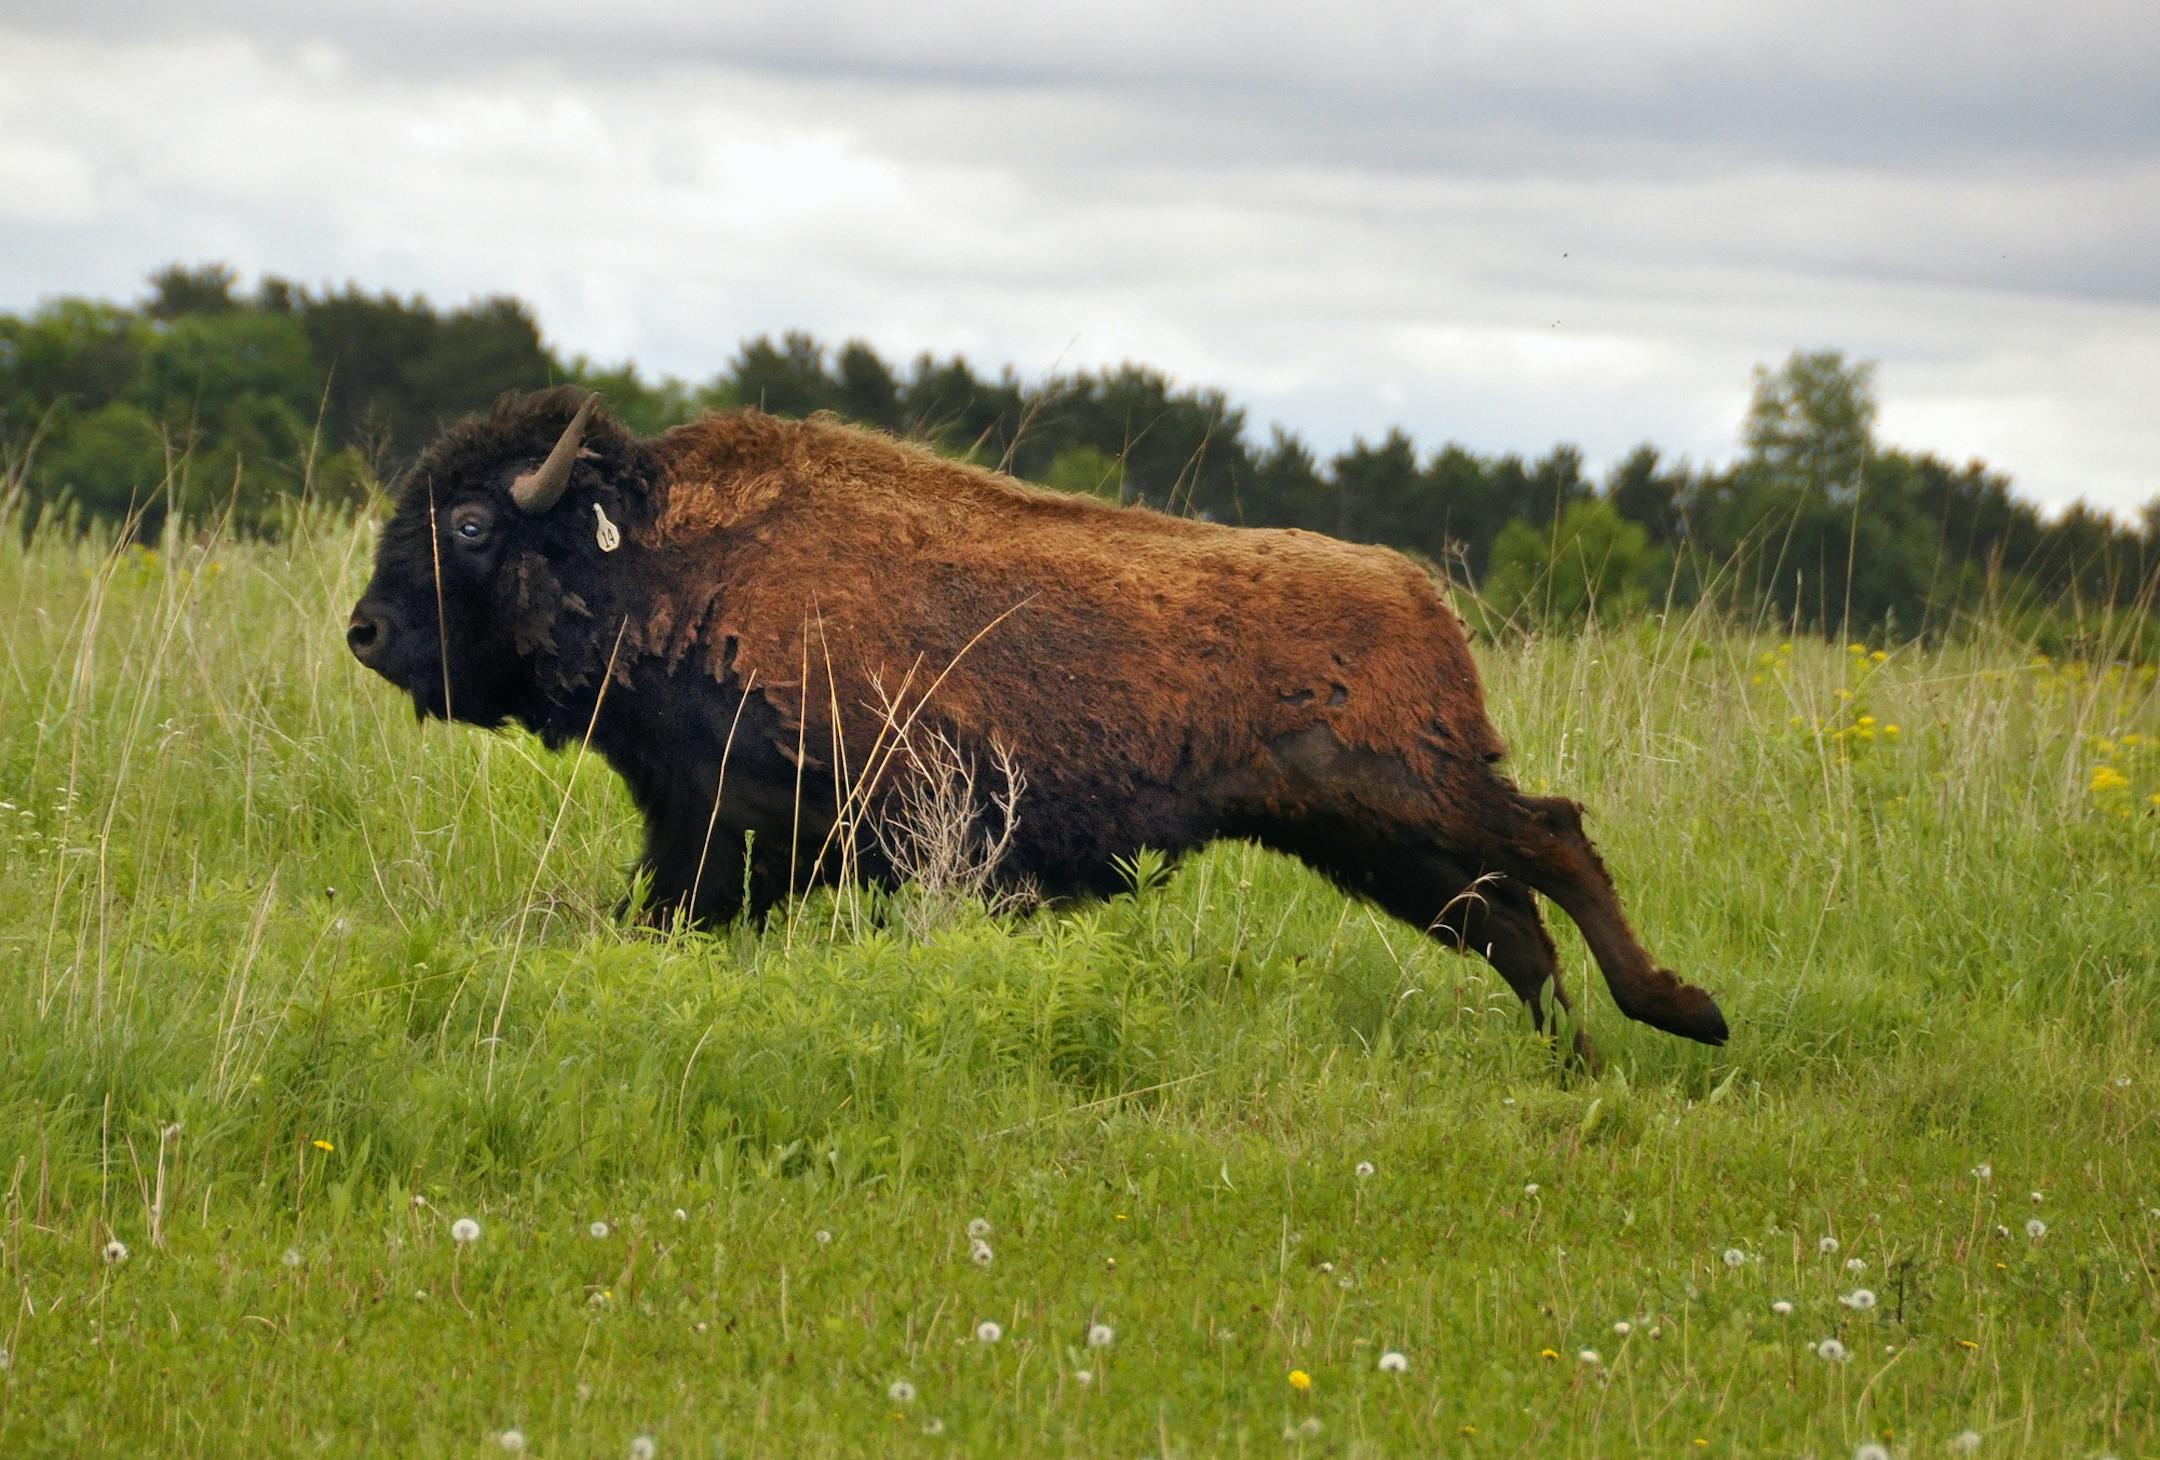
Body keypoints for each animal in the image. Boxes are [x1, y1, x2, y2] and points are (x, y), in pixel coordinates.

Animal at [349, 388, 1728, 1062]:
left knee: (1552, 841)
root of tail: (1417, 592)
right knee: (1506, 920)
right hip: (1372, 839)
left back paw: (1683, 1011)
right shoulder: (709, 843)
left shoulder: (784, 833)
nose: (366, 630)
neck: (662, 553)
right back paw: (1570, 1056)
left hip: (1407, 793)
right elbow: (658, 919)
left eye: (470, 520)